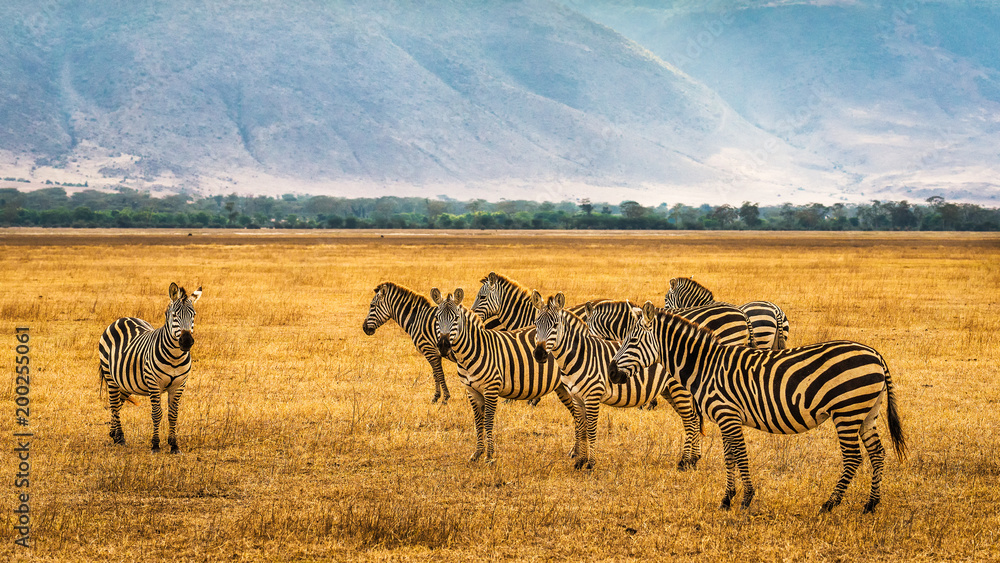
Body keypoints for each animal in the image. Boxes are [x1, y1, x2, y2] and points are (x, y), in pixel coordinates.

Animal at [98, 283, 202, 453]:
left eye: (193, 314)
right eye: (174, 315)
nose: (186, 342)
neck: (175, 356)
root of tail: (123, 318)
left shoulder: (179, 384)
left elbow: (173, 414)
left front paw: (174, 445)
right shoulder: (154, 384)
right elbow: (157, 414)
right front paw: (155, 444)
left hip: (124, 380)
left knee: (118, 404)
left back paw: (114, 434)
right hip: (110, 376)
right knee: (113, 403)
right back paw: (120, 437)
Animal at [432, 287, 576, 463]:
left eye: (456, 318)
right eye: (437, 318)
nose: (443, 346)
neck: (472, 352)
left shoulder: (491, 389)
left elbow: (488, 421)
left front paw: (489, 456)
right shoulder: (472, 391)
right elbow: (478, 422)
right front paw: (477, 453)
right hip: (562, 387)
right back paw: (575, 452)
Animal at [532, 291, 686, 470]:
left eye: (555, 325)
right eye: (536, 324)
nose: (539, 354)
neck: (578, 355)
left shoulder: (593, 396)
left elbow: (591, 430)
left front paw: (590, 464)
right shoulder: (576, 397)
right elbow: (581, 428)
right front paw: (580, 462)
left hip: (680, 388)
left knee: (691, 419)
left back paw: (687, 461)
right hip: (669, 390)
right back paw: (692, 460)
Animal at [609, 301, 907, 513]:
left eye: (632, 341)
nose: (611, 373)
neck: (706, 365)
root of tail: (875, 354)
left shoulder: (728, 415)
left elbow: (740, 455)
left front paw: (746, 498)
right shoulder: (725, 417)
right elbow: (729, 456)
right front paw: (727, 498)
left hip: (847, 411)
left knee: (853, 458)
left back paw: (830, 503)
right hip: (867, 412)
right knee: (877, 453)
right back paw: (871, 504)